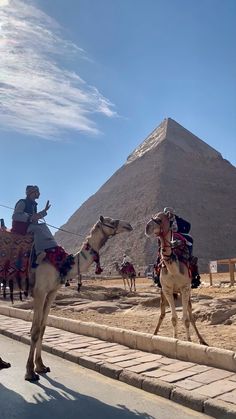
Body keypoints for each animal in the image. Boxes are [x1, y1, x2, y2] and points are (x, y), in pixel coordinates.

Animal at [25, 215, 133, 382]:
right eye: (111, 221)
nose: (128, 225)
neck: (62, 264)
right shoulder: (39, 291)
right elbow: (35, 330)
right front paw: (30, 372)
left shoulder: (52, 292)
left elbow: (42, 328)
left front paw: (41, 366)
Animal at [145, 212, 207, 346]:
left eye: (160, 219)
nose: (147, 227)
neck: (173, 268)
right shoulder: (167, 290)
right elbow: (173, 318)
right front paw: (174, 339)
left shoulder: (185, 288)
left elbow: (186, 319)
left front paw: (189, 340)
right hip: (163, 292)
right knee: (162, 313)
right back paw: (154, 333)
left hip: (187, 292)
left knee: (190, 314)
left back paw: (201, 340)